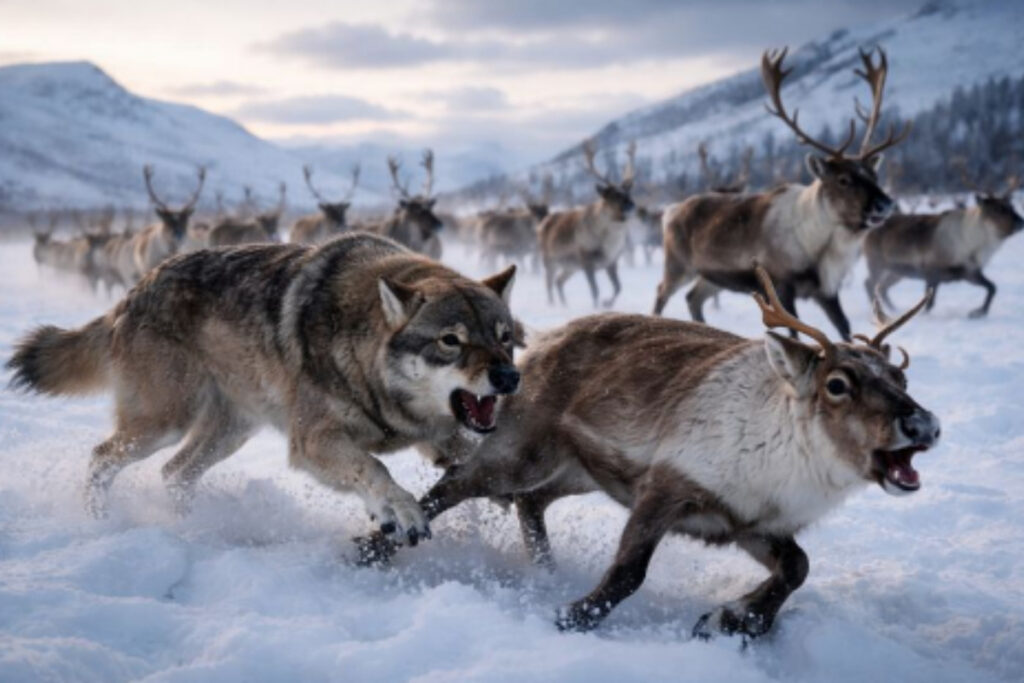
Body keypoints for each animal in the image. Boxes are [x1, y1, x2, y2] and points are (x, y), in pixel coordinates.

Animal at [7, 233, 520, 545]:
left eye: (504, 337)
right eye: (451, 341)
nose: (509, 378)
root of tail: (132, 293)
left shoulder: (438, 436)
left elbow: (470, 456)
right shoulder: (311, 441)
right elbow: (373, 466)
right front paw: (400, 510)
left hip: (229, 434)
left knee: (174, 473)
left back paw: (193, 527)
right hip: (164, 425)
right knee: (101, 458)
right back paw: (101, 522)